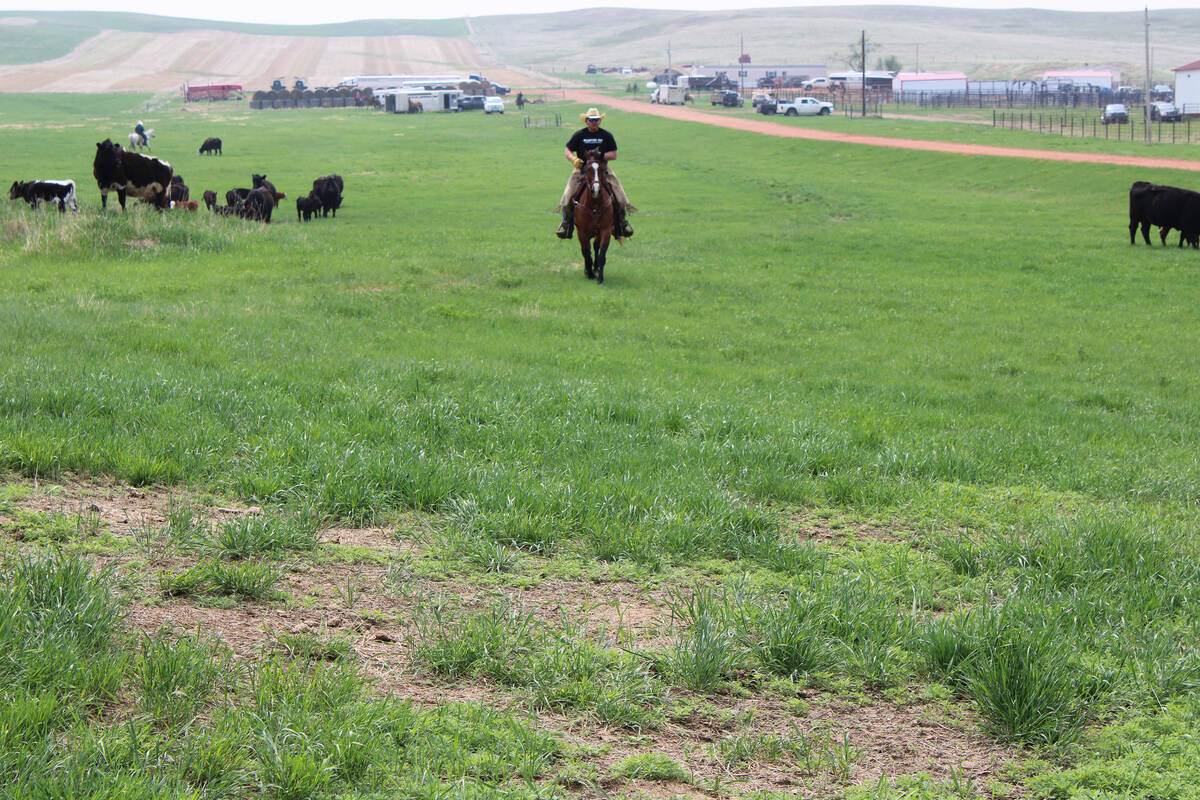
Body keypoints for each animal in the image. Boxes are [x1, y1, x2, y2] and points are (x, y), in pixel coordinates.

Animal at [571, 148, 614, 283]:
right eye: (588, 169)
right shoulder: (582, 232)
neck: (594, 205)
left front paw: (600, 277)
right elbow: (586, 252)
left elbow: (601, 254)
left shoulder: (605, 230)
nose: (595, 190)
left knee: (595, 247)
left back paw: (595, 268)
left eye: (602, 169)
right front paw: (589, 273)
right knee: (586, 250)